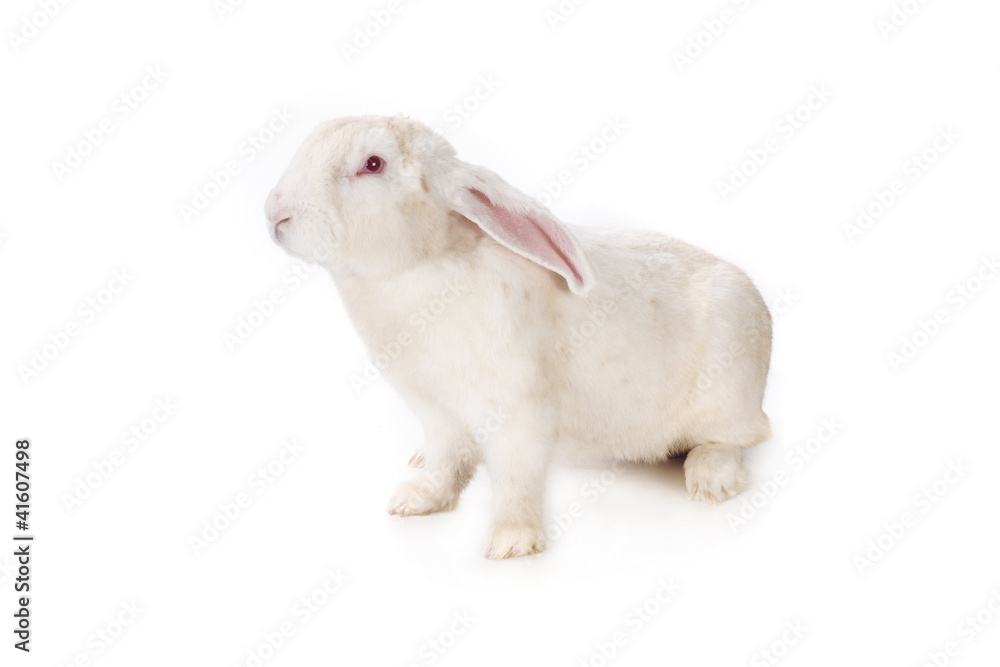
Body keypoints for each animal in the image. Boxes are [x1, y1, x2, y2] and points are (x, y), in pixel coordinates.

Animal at [263, 115, 772, 559]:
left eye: (373, 164)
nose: (274, 211)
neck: (422, 267)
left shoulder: (517, 412)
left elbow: (515, 478)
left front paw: (511, 543)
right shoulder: (437, 413)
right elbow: (446, 461)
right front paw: (417, 499)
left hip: (727, 391)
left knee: (739, 439)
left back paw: (710, 479)